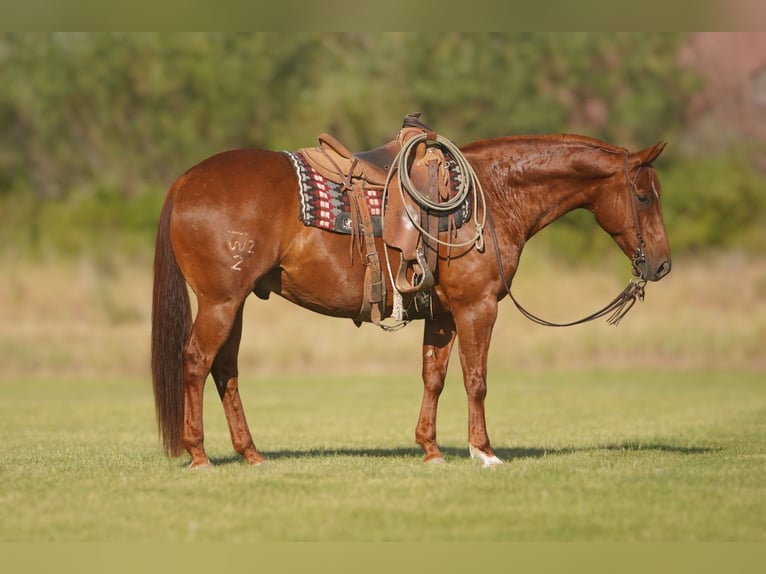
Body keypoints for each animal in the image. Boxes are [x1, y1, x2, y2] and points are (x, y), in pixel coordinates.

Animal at [151, 129, 671, 469]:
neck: (492, 196)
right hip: (220, 301)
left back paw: (251, 454)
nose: (662, 265)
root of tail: (186, 179)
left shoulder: (442, 315)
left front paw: (431, 449)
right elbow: (476, 380)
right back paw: (199, 454)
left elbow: (434, 378)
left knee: (225, 370)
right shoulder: (477, 308)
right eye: (645, 197)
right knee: (196, 362)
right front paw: (484, 452)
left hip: (234, 304)